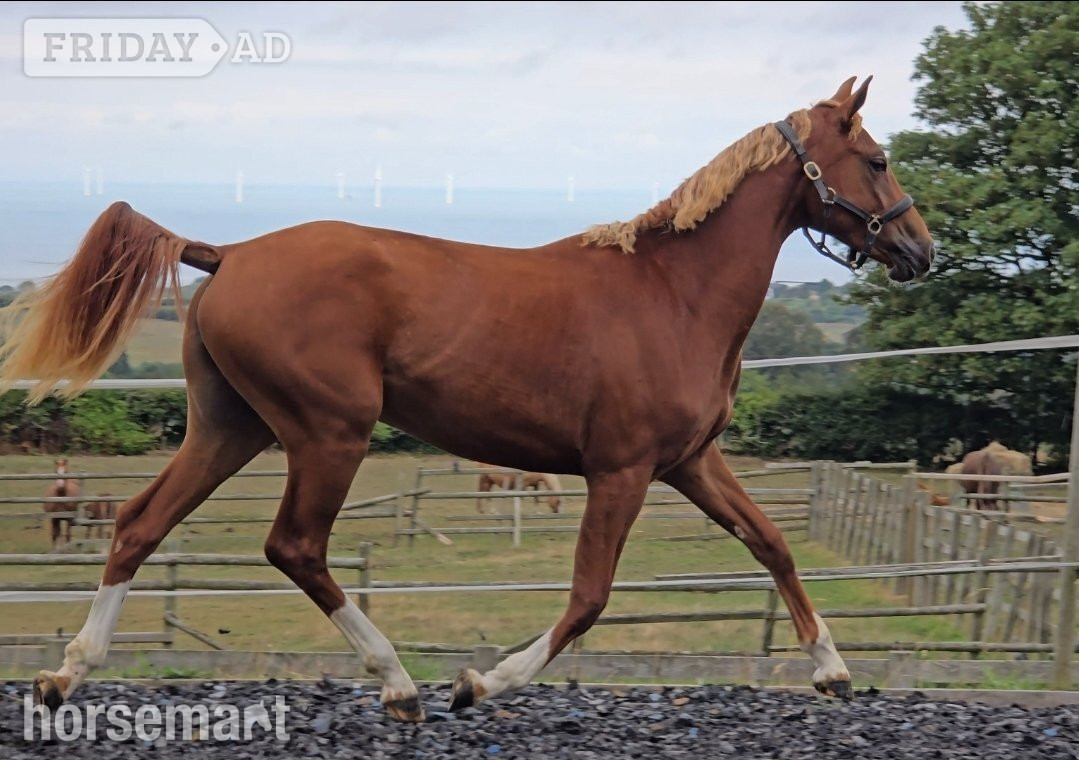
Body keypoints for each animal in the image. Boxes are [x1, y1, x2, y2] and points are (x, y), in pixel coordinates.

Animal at [0, 76, 933, 720]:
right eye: (877, 160)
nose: (921, 249)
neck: (673, 294)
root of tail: (227, 253)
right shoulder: (621, 470)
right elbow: (589, 598)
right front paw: (479, 681)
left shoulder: (690, 463)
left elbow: (771, 543)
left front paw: (833, 671)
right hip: (328, 432)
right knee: (293, 546)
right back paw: (400, 684)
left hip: (230, 429)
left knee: (139, 524)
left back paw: (64, 675)